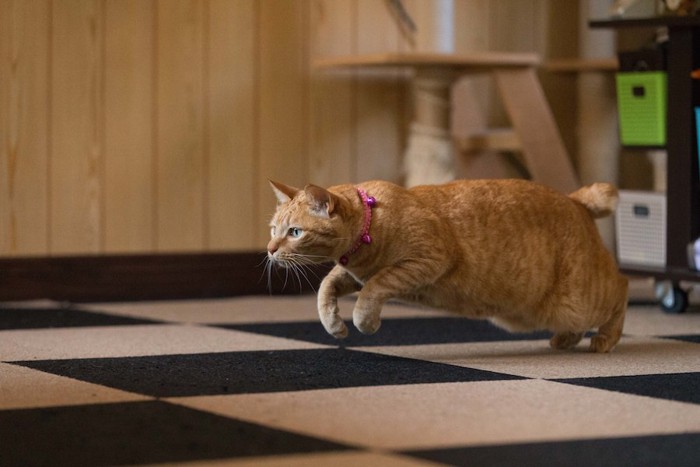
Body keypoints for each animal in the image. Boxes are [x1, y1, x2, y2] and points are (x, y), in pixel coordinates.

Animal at [268, 180, 628, 354]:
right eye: (273, 229)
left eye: (295, 232)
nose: (269, 250)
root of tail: (575, 199)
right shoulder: (352, 273)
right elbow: (325, 289)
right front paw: (334, 325)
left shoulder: (427, 259)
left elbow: (374, 289)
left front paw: (364, 322)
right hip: (532, 314)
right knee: (578, 322)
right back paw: (565, 340)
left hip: (579, 298)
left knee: (620, 289)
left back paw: (605, 340)